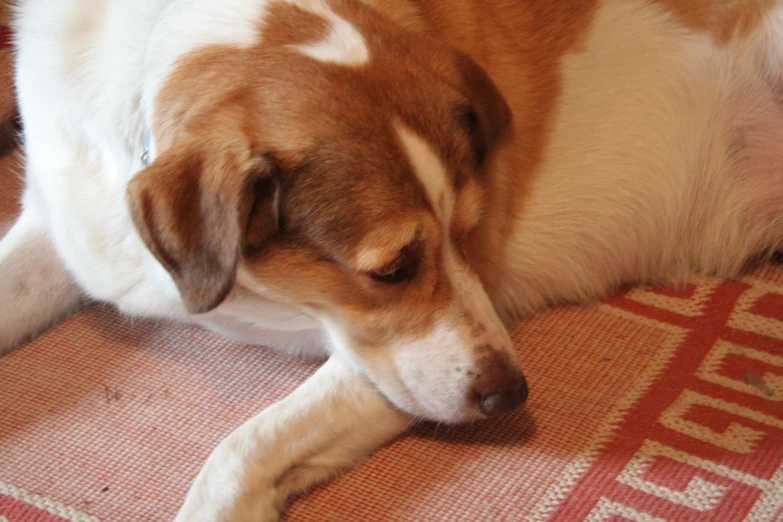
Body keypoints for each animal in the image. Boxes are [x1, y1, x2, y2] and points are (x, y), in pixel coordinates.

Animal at [1, 0, 783, 516]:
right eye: (390, 270)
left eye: (468, 233)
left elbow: (239, 451)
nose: (512, 397)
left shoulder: (389, 360)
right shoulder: (60, 224)